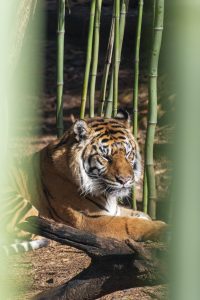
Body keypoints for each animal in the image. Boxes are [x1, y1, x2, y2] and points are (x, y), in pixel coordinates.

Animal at [0, 110, 166, 251]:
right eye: (105, 157)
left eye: (128, 154)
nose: (125, 180)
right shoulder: (88, 219)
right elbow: (131, 224)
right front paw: (162, 228)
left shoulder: (114, 210)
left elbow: (141, 215)